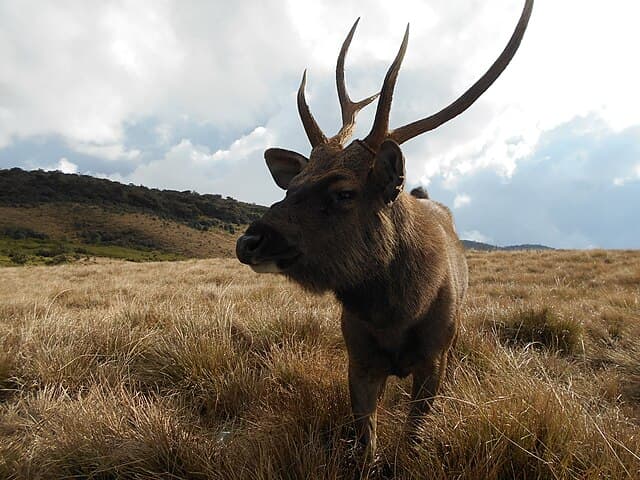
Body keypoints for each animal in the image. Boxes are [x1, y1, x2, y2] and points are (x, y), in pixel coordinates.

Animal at [236, 0, 533, 458]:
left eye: (344, 192)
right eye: (293, 185)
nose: (250, 240)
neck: (395, 313)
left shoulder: (434, 357)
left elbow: (412, 439)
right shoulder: (357, 356)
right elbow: (365, 445)